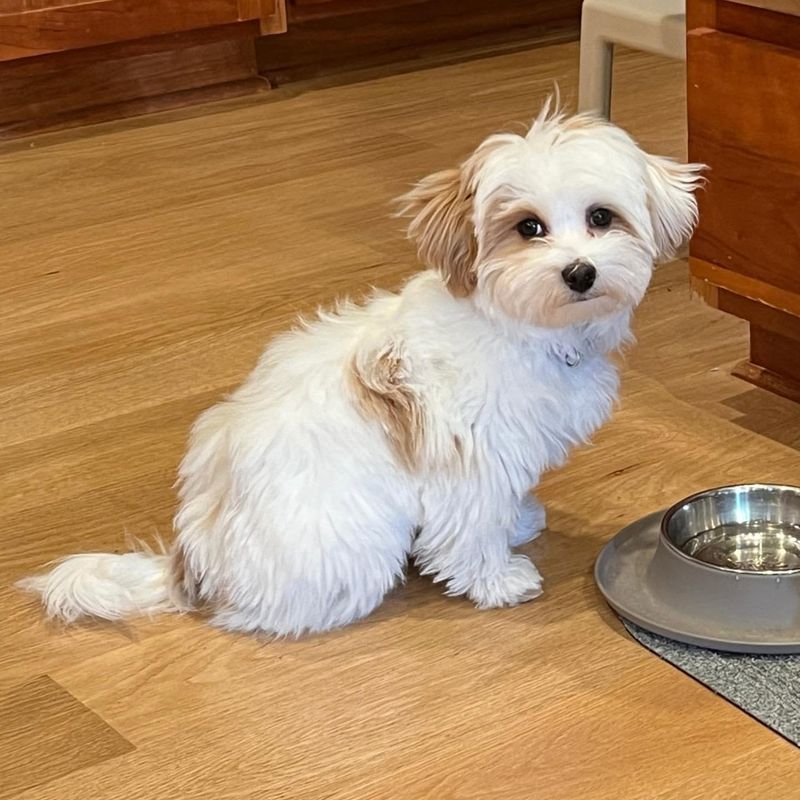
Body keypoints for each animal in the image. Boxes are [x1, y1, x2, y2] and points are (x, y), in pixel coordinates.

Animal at [21, 104, 700, 636]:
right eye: (528, 227)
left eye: (601, 217)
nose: (580, 271)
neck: (519, 326)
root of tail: (195, 560)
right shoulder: (469, 457)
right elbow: (472, 523)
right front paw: (498, 578)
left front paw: (519, 521)